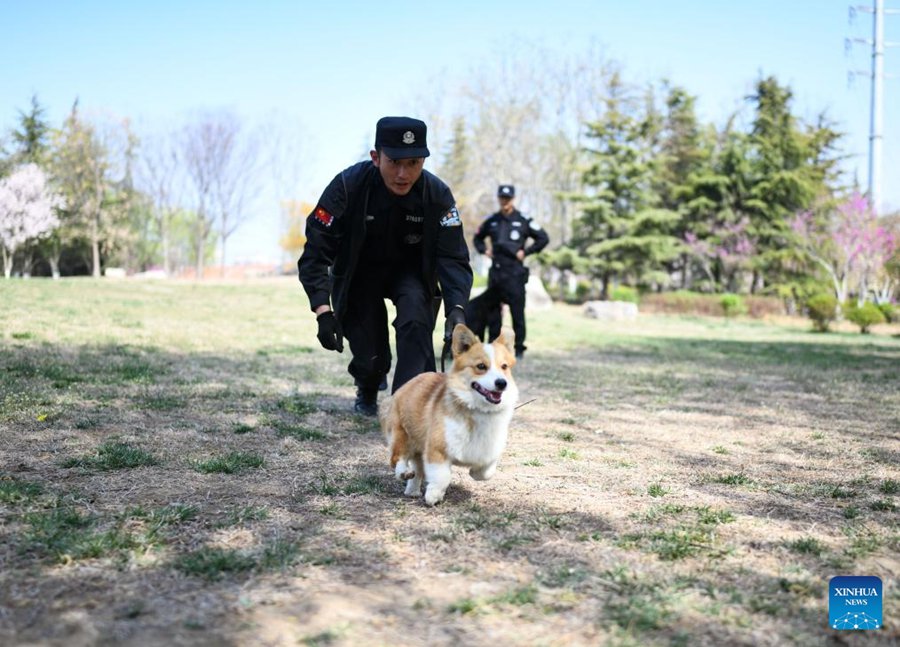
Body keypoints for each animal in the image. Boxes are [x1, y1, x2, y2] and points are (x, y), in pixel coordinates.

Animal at [382, 324, 520, 506]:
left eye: (504, 366)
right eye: (481, 366)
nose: (502, 383)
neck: (477, 410)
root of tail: (409, 383)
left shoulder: (489, 449)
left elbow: (485, 472)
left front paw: (473, 472)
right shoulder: (437, 449)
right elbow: (442, 476)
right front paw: (434, 495)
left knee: (418, 469)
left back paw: (412, 490)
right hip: (402, 434)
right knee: (398, 458)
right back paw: (404, 472)